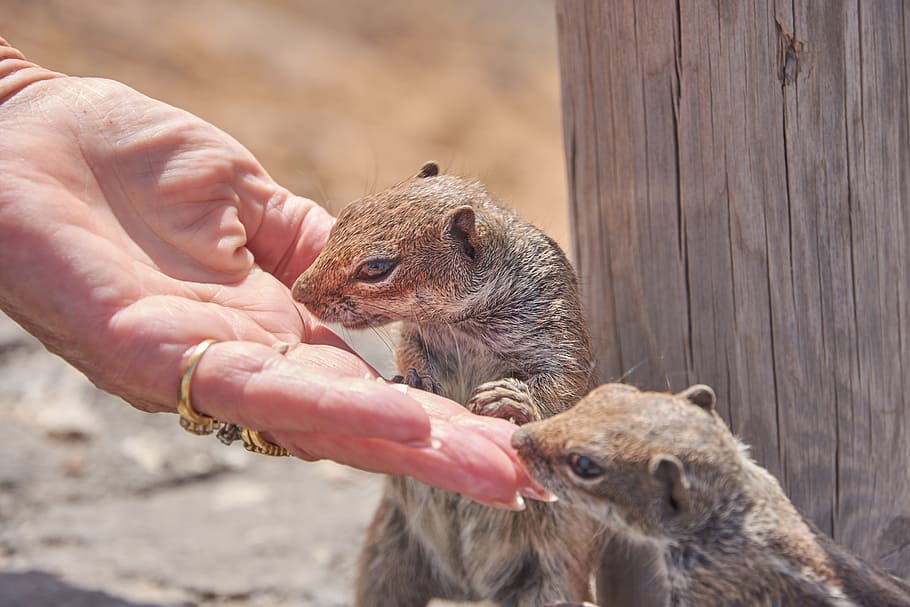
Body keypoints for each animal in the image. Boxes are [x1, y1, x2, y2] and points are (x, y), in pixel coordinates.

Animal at [292, 162, 599, 606]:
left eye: (376, 268)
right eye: (347, 213)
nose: (299, 291)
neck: (464, 323)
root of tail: (465, 589)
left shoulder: (556, 328)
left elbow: (565, 386)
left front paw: (513, 399)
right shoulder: (415, 333)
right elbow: (409, 352)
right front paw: (415, 378)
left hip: (550, 582)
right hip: (384, 560)